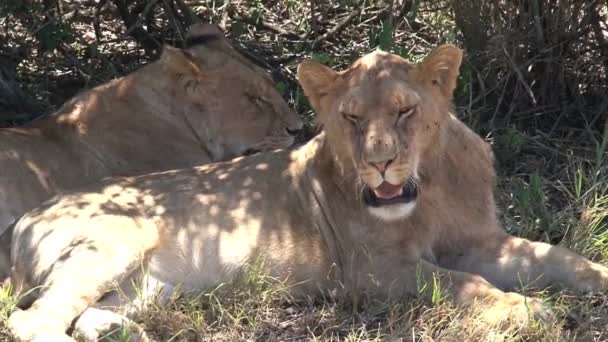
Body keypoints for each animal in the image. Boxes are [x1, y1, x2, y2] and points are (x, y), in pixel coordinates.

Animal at [5, 46, 608, 342]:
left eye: (405, 111)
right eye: (351, 118)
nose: (379, 163)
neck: (430, 188)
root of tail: (24, 221)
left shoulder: (482, 240)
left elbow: (564, 258)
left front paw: (594, 280)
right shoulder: (372, 272)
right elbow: (467, 285)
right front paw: (529, 311)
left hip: (149, 284)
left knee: (80, 313)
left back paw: (127, 333)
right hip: (115, 243)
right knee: (31, 322)